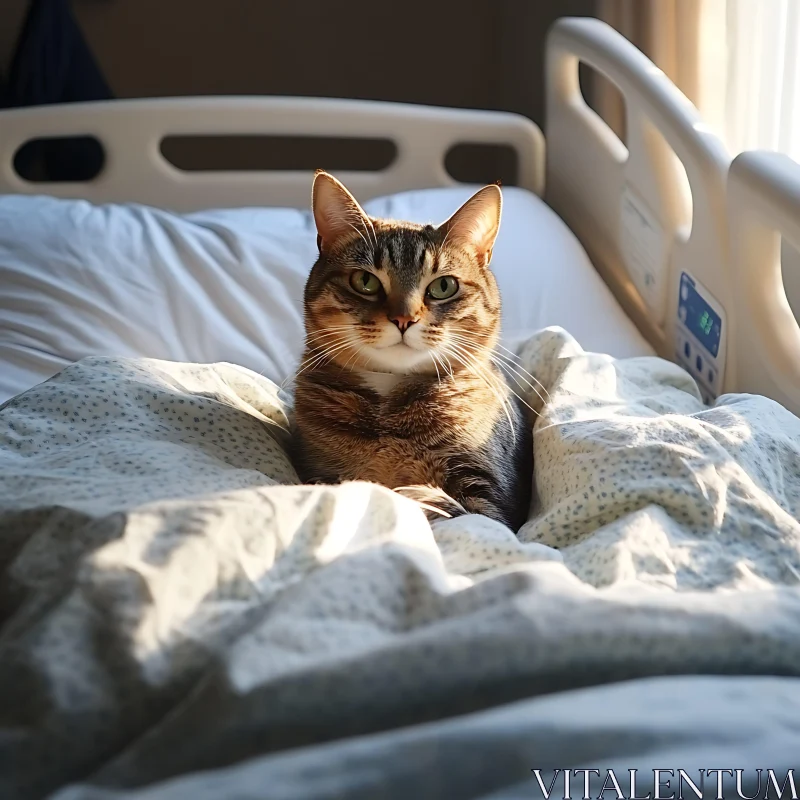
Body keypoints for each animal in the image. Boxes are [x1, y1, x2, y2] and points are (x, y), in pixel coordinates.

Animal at [292, 170, 532, 532]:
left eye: (443, 286)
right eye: (365, 281)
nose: (403, 318)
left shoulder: (488, 498)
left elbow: (455, 513)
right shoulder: (319, 470)